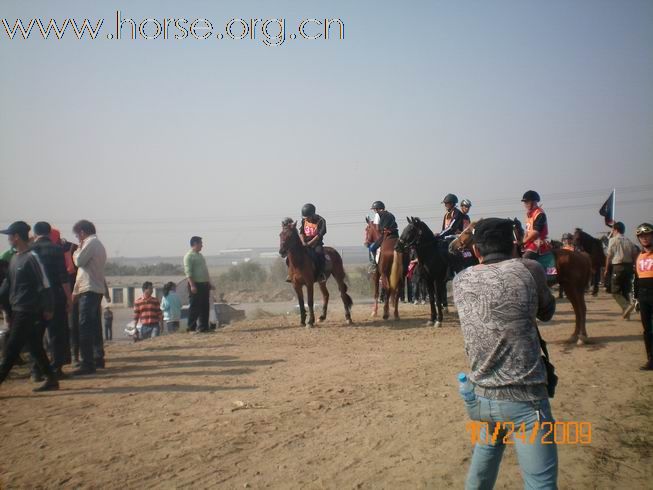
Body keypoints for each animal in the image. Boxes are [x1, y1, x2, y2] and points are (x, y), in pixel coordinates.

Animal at [450, 220, 592, 346]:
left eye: (467, 231)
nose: (451, 246)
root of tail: (582, 256)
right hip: (569, 288)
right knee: (577, 309)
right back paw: (574, 336)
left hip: (574, 288)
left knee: (581, 308)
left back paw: (582, 337)